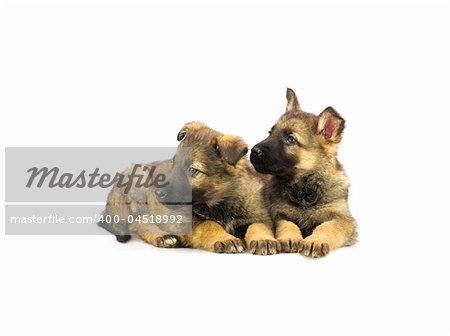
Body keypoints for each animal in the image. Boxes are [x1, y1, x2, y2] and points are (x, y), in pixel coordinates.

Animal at [155, 122, 280, 256]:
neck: (222, 202)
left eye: (193, 170)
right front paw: (225, 238)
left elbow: (259, 226)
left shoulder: (259, 215)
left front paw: (263, 239)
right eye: (174, 164)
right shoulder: (186, 218)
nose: (158, 192)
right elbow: (208, 223)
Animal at [250, 88, 358, 258]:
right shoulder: (279, 214)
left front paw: (316, 241)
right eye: (270, 132)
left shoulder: (343, 220)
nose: (253, 151)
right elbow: (287, 225)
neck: (305, 189)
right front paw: (290, 238)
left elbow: (328, 227)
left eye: (291, 139)